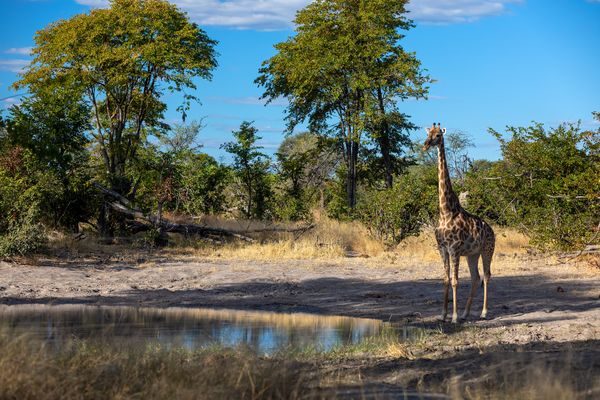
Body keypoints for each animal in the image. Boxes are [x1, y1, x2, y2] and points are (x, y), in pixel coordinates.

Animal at [424, 123, 494, 324]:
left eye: (438, 135)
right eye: (428, 134)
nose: (425, 145)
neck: (445, 211)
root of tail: (492, 231)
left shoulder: (454, 248)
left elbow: (455, 281)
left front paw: (453, 316)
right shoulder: (442, 248)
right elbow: (446, 279)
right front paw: (443, 314)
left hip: (487, 250)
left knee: (486, 276)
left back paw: (483, 312)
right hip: (473, 254)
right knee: (475, 278)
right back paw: (466, 313)